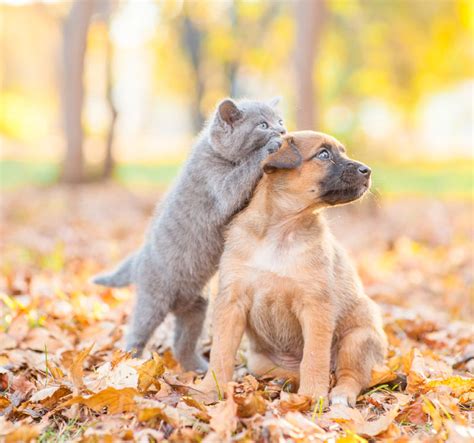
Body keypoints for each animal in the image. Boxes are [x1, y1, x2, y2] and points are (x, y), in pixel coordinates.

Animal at [92, 97, 286, 372]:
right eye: (263, 124)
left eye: (279, 120)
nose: (282, 130)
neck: (218, 154)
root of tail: (138, 260)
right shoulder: (215, 182)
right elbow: (239, 180)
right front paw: (270, 147)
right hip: (153, 299)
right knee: (137, 331)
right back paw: (131, 363)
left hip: (196, 305)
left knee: (182, 342)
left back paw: (197, 368)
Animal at [198, 131, 386, 406]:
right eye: (323, 154)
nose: (368, 170)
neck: (281, 230)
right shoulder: (232, 302)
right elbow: (220, 353)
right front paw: (210, 390)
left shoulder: (315, 306)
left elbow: (314, 357)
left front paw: (312, 395)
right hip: (260, 360)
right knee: (291, 371)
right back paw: (279, 381)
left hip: (357, 339)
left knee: (350, 376)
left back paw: (339, 395)